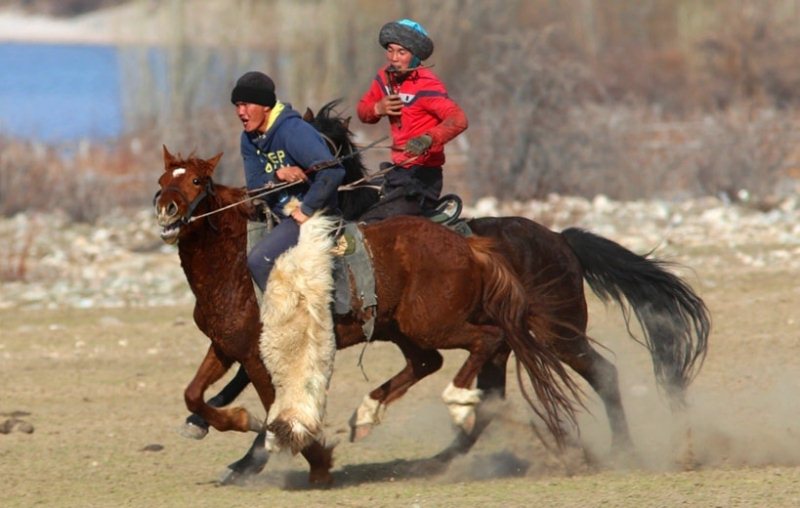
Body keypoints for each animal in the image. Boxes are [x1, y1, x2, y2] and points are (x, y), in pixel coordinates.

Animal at [153, 146, 580, 484]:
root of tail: (470, 246)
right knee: (431, 361)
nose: (166, 210)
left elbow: (276, 407)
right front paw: (234, 426)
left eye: (196, 181)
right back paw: (370, 413)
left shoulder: (257, 357)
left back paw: (458, 402)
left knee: (487, 340)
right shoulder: (226, 347)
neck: (234, 262)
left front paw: (312, 461)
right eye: (162, 180)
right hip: (406, 328)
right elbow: (193, 394)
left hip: (434, 324)